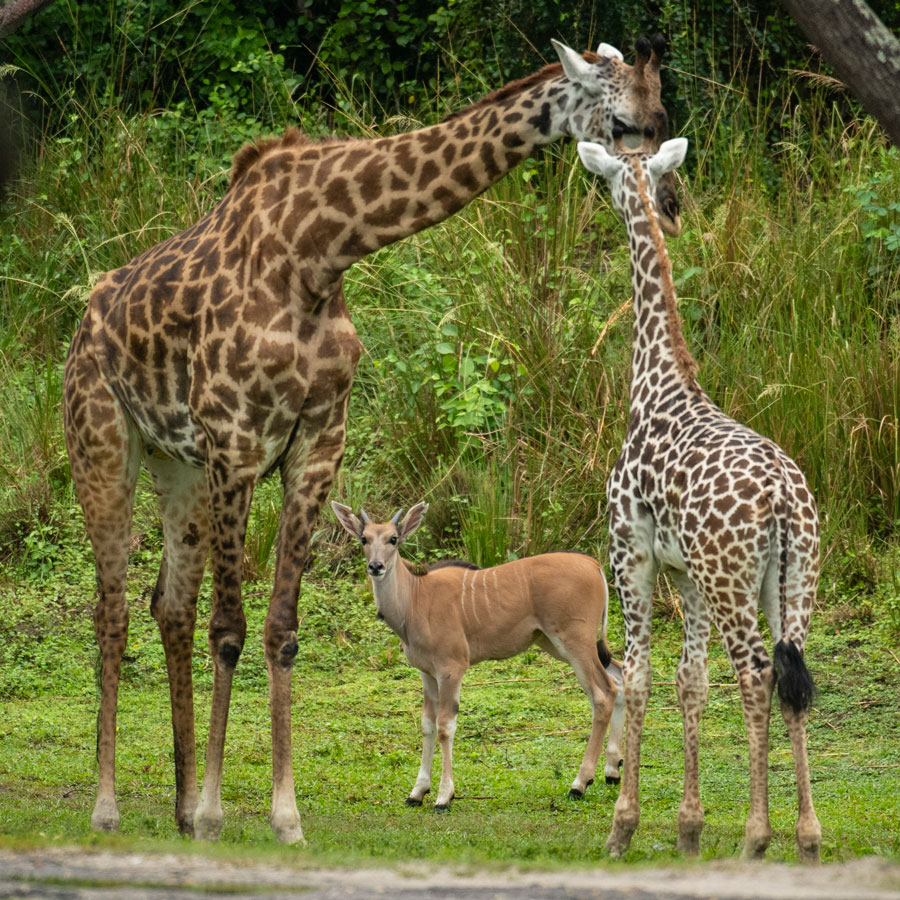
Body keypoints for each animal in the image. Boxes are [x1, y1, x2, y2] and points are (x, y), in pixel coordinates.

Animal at [332, 502, 624, 812]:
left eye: (393, 539)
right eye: (364, 539)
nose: (376, 566)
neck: (415, 599)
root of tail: (593, 564)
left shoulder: (452, 668)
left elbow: (445, 726)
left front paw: (443, 796)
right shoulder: (426, 673)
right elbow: (427, 725)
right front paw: (417, 791)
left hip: (575, 642)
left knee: (603, 693)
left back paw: (579, 783)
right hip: (559, 644)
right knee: (620, 677)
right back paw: (612, 771)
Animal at [576, 137, 824, 860]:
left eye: (609, 178)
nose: (613, 201)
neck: (656, 384)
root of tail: (784, 503)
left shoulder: (631, 554)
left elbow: (637, 675)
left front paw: (623, 826)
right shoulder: (683, 572)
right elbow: (692, 680)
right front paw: (688, 828)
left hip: (731, 579)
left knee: (758, 676)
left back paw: (756, 838)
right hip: (792, 582)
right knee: (793, 679)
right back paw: (807, 838)